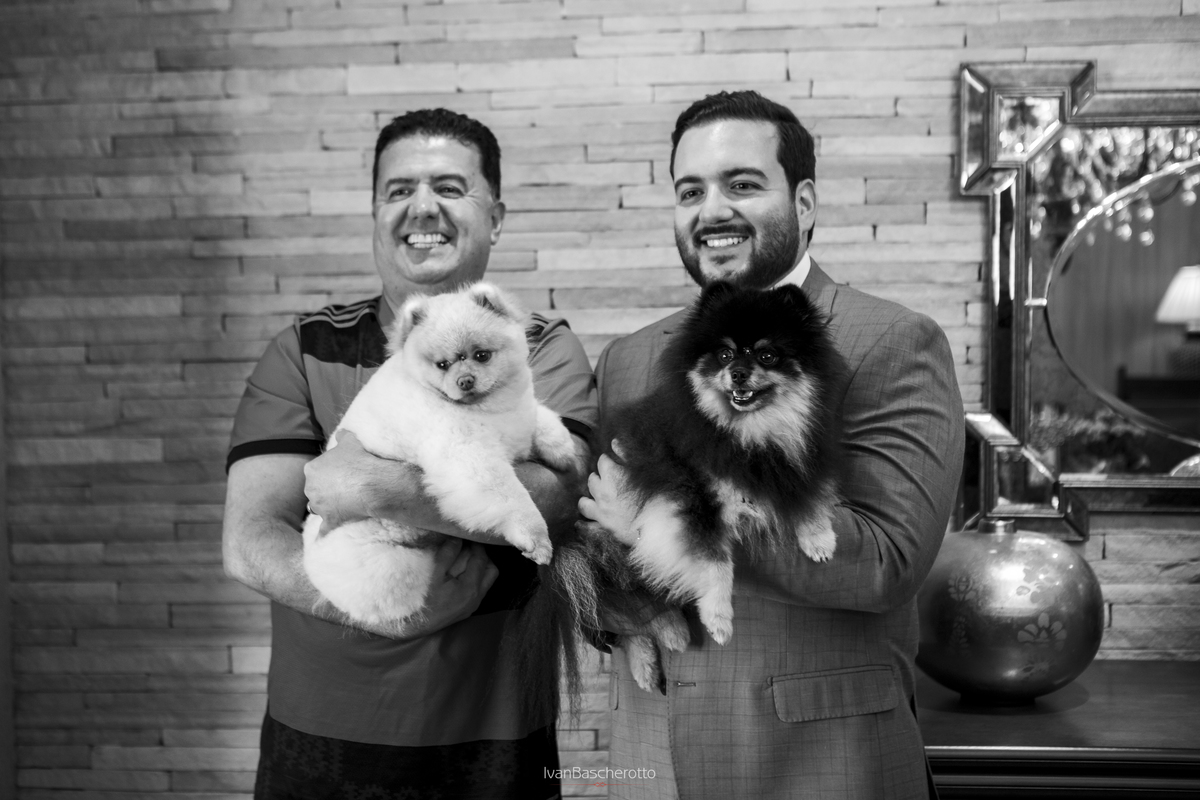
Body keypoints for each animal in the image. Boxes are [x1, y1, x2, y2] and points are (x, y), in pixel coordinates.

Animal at [301, 282, 579, 627]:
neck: (487, 409)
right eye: (443, 365)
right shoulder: (468, 455)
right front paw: (535, 538)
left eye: (481, 355)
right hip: (387, 567)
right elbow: (512, 497)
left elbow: (542, 418)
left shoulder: (521, 415)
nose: (465, 380)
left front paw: (562, 450)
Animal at [555, 280, 844, 692]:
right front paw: (719, 617)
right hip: (598, 546)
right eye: (724, 354)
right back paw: (663, 640)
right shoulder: (692, 495)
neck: (749, 432)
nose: (737, 373)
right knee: (626, 606)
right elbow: (715, 561)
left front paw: (819, 538)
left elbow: (810, 496)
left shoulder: (798, 462)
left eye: (767, 355)